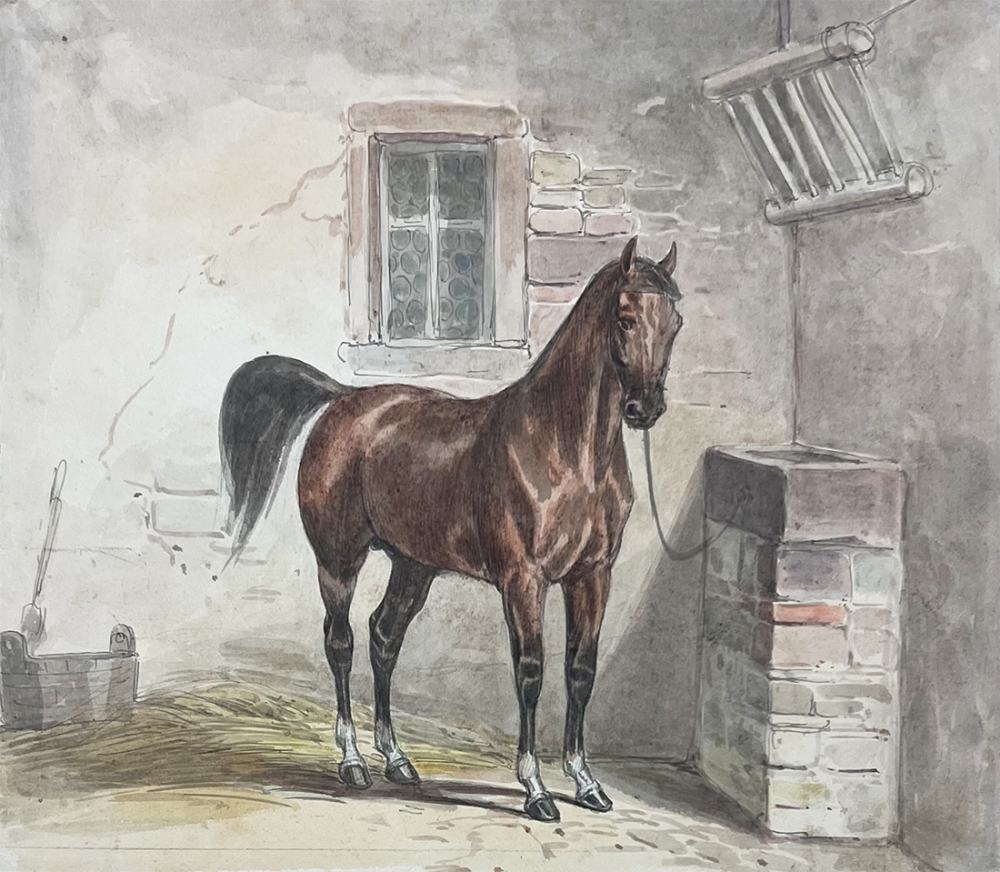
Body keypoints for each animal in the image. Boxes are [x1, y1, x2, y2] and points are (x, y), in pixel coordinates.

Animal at [219, 236, 683, 822]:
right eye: (624, 318)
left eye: (675, 321)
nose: (646, 407)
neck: (566, 449)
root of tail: (343, 400)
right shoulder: (523, 582)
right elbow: (530, 673)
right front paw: (535, 789)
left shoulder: (593, 576)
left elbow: (581, 671)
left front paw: (585, 782)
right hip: (339, 562)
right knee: (341, 642)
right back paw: (353, 762)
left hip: (413, 566)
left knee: (383, 637)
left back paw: (397, 759)